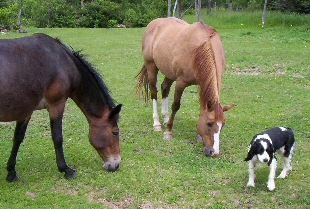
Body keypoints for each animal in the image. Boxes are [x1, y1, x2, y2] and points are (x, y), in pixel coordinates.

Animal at [0, 33, 123, 182]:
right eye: (115, 132)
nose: (116, 164)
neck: (64, 63)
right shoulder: (56, 104)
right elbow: (57, 137)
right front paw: (66, 169)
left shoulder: (26, 110)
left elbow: (18, 138)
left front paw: (11, 171)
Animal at [136, 18, 235, 157]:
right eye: (209, 123)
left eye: (223, 125)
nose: (213, 152)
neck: (199, 48)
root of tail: (153, 23)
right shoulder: (181, 82)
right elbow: (175, 105)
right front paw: (168, 132)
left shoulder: (201, 84)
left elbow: (201, 108)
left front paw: (198, 136)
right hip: (151, 66)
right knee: (154, 92)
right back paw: (157, 123)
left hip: (169, 72)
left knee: (164, 88)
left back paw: (165, 118)